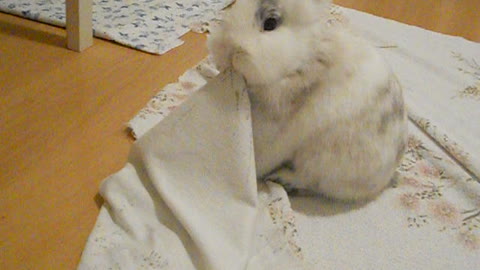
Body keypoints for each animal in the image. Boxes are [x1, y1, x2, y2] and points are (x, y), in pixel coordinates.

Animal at [208, 0, 406, 200]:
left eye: (270, 23)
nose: (227, 48)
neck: (301, 64)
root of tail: (385, 178)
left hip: (321, 159)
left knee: (312, 180)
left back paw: (282, 178)